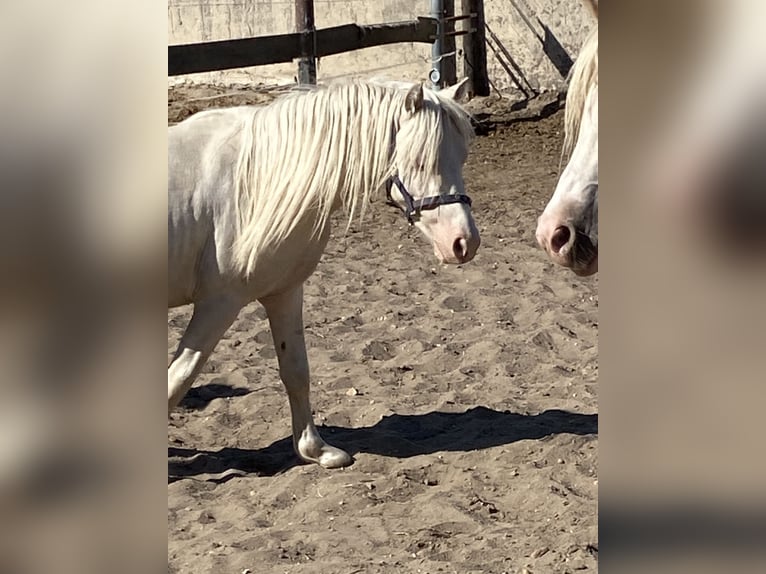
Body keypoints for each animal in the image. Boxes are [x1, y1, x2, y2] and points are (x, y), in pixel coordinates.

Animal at [168, 79, 479, 469]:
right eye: (421, 161)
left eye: (463, 158)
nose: (464, 243)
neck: (257, 179)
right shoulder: (219, 303)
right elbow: (178, 378)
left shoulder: (284, 292)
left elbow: (296, 371)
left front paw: (315, 451)